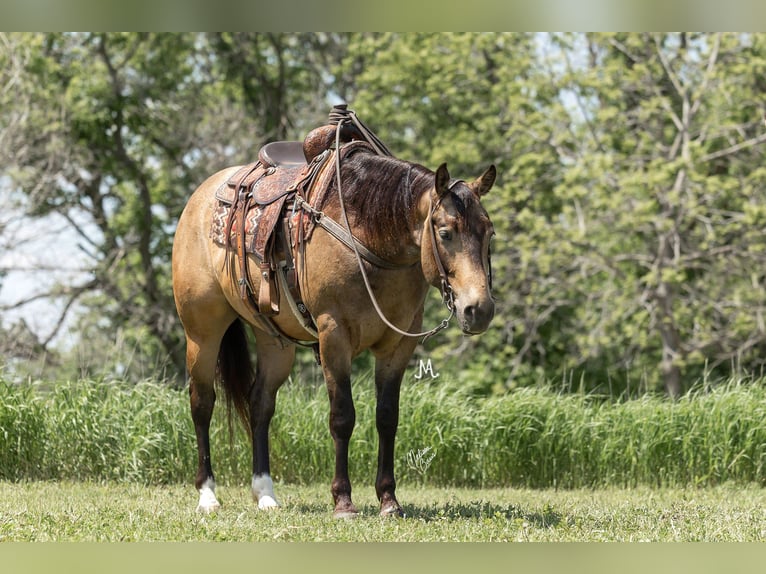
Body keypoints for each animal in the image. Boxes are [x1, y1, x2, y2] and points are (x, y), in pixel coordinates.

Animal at [171, 114, 496, 518]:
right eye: (446, 232)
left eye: (489, 233)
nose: (479, 309)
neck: (370, 238)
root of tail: (200, 198)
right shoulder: (333, 335)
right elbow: (342, 416)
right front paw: (343, 500)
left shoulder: (398, 345)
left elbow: (387, 417)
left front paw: (389, 500)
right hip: (202, 331)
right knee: (202, 402)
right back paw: (208, 495)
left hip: (275, 342)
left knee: (260, 404)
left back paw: (265, 494)